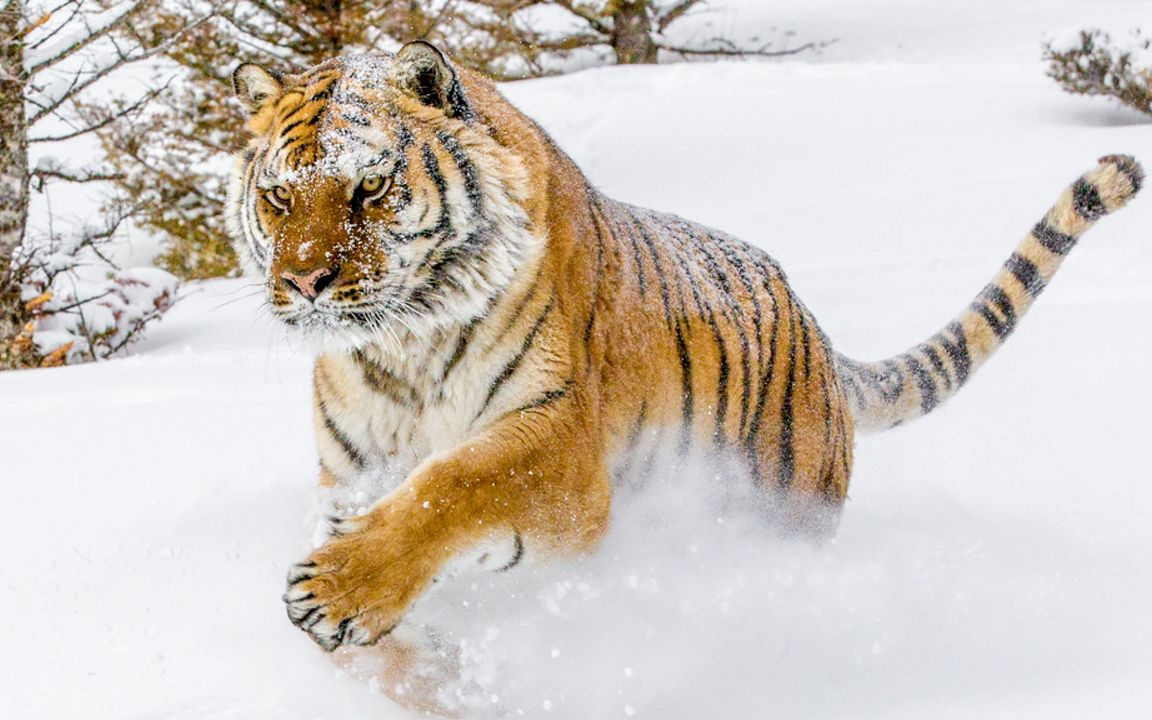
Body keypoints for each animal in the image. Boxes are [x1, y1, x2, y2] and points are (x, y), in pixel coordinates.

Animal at [228, 41, 1142, 703]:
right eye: (279, 197)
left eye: (370, 186)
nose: (304, 283)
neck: (400, 347)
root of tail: (817, 331)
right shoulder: (351, 473)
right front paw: (422, 675)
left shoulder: (559, 448)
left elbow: (452, 487)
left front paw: (340, 590)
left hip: (780, 516)